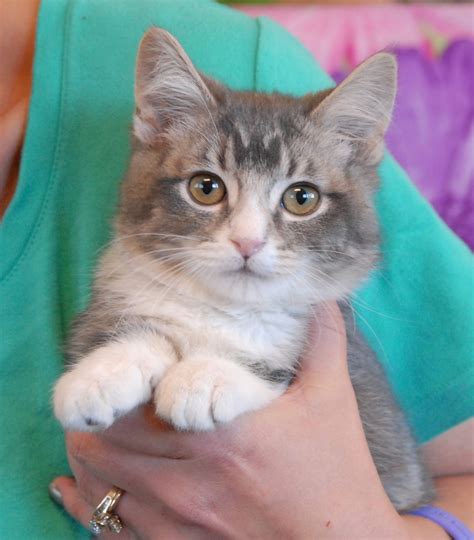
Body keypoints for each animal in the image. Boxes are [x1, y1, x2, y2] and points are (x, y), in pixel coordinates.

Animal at [52, 28, 434, 510]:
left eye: (302, 198)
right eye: (206, 187)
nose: (247, 241)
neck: (221, 308)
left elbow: (271, 362)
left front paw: (206, 378)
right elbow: (120, 330)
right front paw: (100, 375)